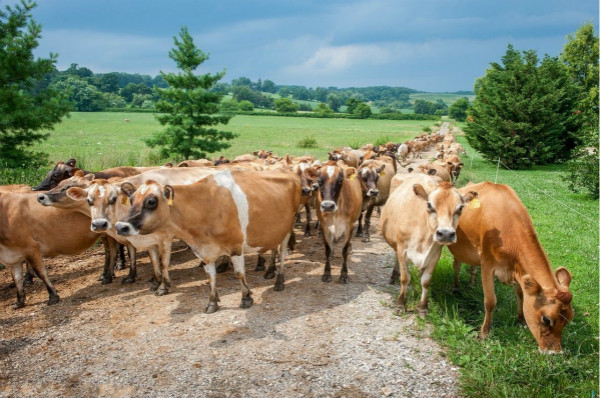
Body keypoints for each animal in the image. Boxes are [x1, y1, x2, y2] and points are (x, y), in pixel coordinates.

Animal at [113, 169, 300, 312]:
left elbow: (239, 274)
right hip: (274, 231)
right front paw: (212, 302)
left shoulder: (236, 247)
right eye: (131, 200)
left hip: (287, 230)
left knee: (282, 254)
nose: (121, 226)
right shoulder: (203, 251)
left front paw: (246, 298)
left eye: (151, 201)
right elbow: (211, 277)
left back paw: (279, 281)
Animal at [380, 174, 478, 318]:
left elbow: (426, 281)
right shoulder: (402, 250)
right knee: (396, 258)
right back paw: (394, 275)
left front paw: (423, 307)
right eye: (429, 205)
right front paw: (400, 304)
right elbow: (405, 278)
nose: (446, 234)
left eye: (460, 208)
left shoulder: (435, 254)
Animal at [448, 182, 576, 352]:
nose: (553, 353)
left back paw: (470, 284)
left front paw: (521, 320)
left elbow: (521, 295)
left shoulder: (518, 271)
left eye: (568, 319)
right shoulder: (487, 264)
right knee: (456, 265)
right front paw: (484, 333)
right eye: (546, 319)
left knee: (471, 268)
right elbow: (490, 301)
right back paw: (456, 287)